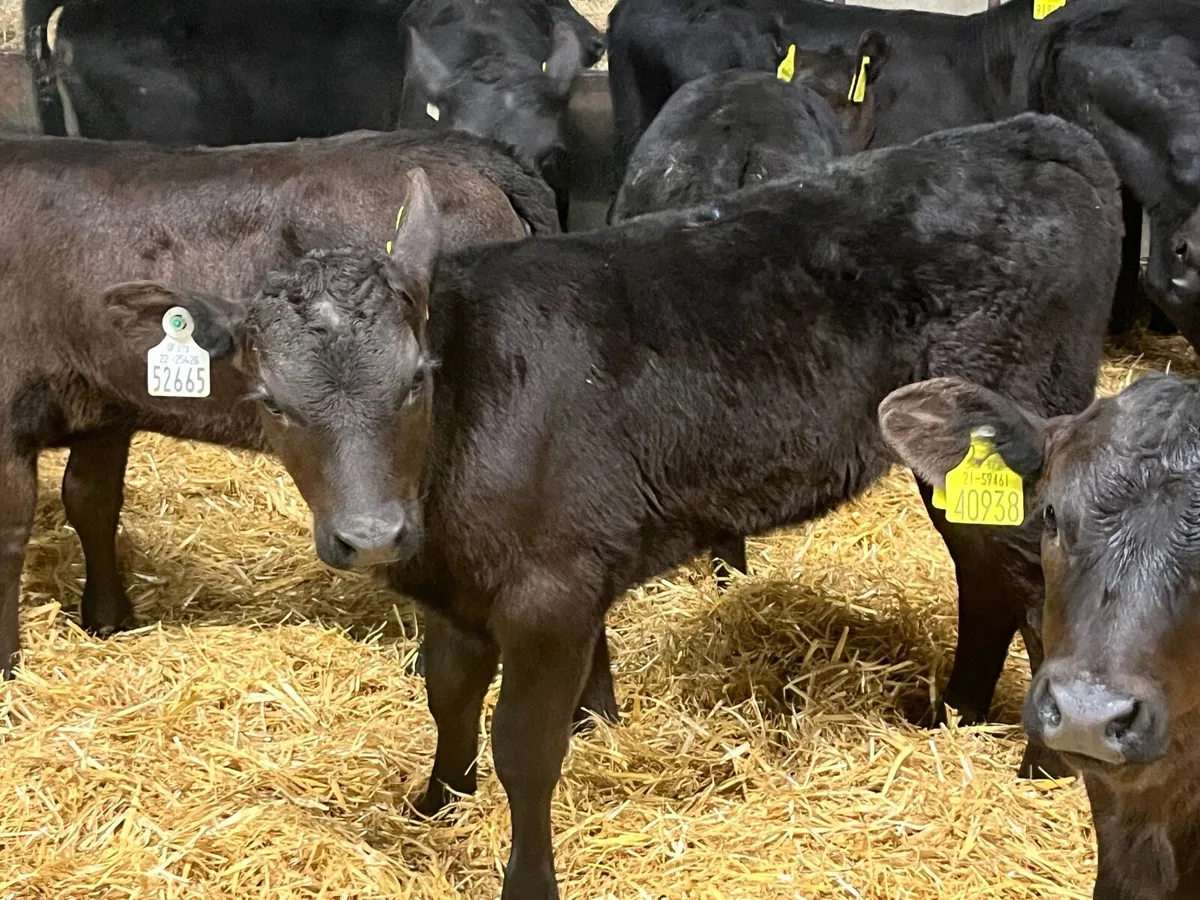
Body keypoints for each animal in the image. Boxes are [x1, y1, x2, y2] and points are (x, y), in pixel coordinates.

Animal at [183, 113, 1121, 898]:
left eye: (416, 380)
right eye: (271, 402)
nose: (374, 535)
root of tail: (1030, 133)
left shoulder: (552, 589)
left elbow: (526, 747)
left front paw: (527, 879)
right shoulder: (454, 585)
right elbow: (448, 695)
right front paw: (436, 804)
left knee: (1036, 589)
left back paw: (1041, 766)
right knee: (987, 581)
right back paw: (955, 714)